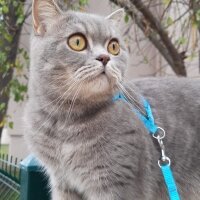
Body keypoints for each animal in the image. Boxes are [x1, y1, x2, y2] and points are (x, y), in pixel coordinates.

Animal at [24, 0, 200, 199]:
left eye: (113, 46)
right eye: (77, 42)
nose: (105, 57)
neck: (63, 123)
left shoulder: (117, 184)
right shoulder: (63, 183)